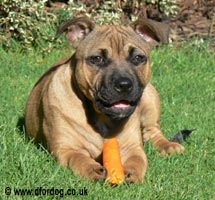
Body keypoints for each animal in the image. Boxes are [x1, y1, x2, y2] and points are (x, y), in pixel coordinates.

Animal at [24, 17, 183, 183]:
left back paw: (168, 146)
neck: (102, 118)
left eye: (138, 58)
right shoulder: (65, 148)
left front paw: (132, 172)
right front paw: (92, 168)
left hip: (151, 98)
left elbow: (137, 160)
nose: (124, 84)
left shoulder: (132, 147)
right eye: (97, 59)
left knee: (153, 131)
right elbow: (77, 158)